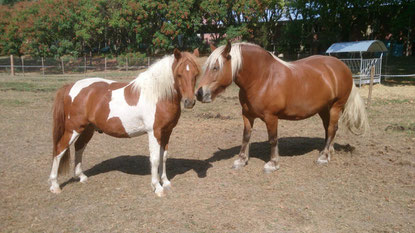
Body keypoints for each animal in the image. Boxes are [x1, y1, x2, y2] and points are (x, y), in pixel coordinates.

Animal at [49, 49, 201, 197]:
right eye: (179, 74)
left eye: (196, 74)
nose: (189, 102)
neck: (157, 94)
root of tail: (69, 87)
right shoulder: (154, 132)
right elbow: (155, 158)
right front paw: (157, 187)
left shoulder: (167, 132)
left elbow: (163, 157)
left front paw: (166, 182)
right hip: (73, 129)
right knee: (60, 149)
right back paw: (55, 185)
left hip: (87, 129)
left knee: (79, 147)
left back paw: (81, 177)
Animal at [197, 42, 368, 173]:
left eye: (216, 67)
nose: (199, 93)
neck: (262, 78)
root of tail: (343, 67)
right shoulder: (247, 115)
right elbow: (246, 136)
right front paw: (241, 160)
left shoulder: (271, 117)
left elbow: (273, 139)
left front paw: (273, 164)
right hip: (323, 109)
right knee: (329, 128)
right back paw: (328, 151)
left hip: (335, 106)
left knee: (332, 128)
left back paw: (323, 157)